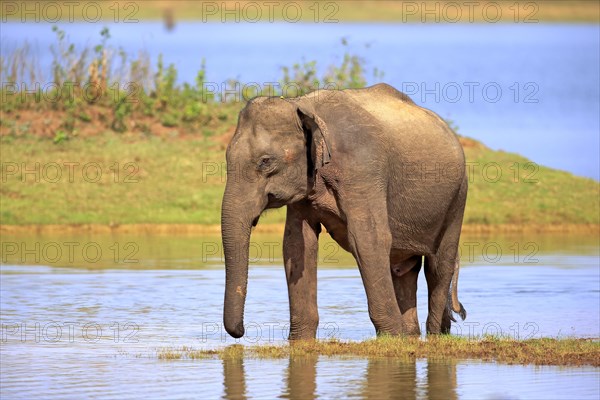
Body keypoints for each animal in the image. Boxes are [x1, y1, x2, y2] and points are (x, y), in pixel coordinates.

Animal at [223, 83, 466, 340]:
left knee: (438, 266)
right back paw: (411, 335)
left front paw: (391, 337)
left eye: (265, 161)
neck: (302, 104)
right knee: (404, 270)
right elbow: (297, 244)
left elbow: (368, 239)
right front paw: (299, 341)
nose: (241, 331)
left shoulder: (363, 169)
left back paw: (435, 335)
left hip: (458, 197)